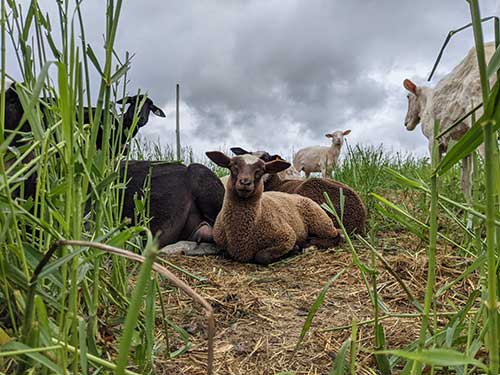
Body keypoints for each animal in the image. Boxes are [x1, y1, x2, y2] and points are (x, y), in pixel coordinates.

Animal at [205, 151, 342, 266]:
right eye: (233, 166)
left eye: (260, 170)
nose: (245, 182)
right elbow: (226, 252)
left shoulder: (287, 236)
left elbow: (262, 256)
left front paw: (294, 250)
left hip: (321, 222)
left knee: (338, 235)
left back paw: (309, 244)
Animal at [406, 41, 496, 200]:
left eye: (408, 97)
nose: (406, 123)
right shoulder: (464, 141)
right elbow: (465, 180)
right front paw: (469, 205)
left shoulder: (433, 139)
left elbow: (435, 175)